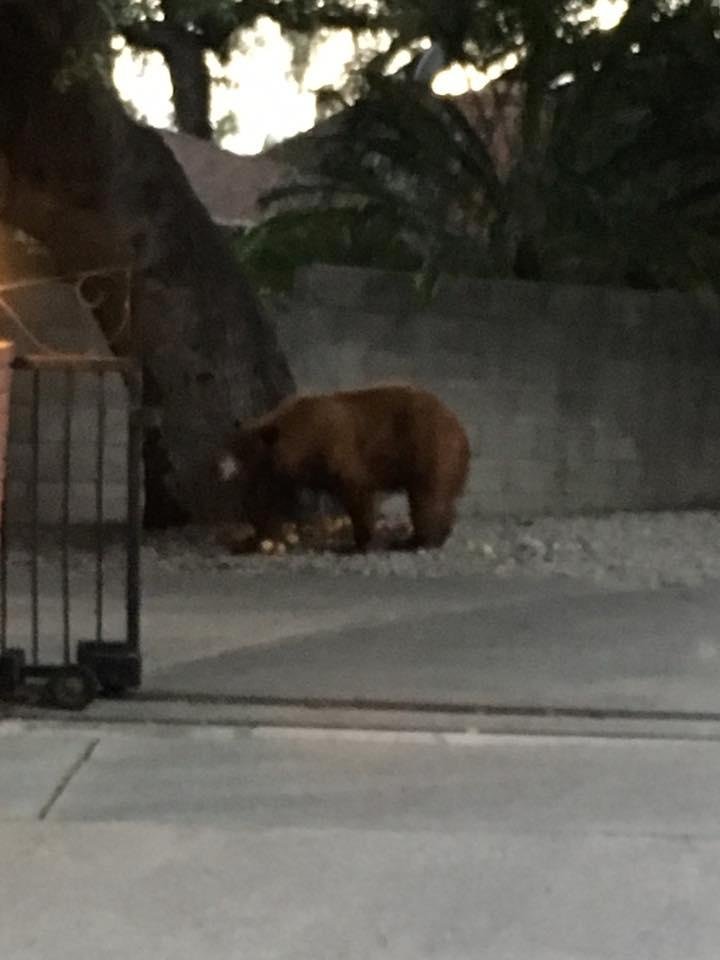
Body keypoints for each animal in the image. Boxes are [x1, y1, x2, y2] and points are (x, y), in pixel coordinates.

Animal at [218, 383, 470, 551]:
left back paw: (417, 540)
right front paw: (258, 534)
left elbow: (357, 492)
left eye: (241, 452)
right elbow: (271, 500)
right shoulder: (285, 473)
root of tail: (458, 427)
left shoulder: (338, 450)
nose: (223, 470)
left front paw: (360, 542)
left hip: (427, 450)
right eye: (231, 445)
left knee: (426, 497)